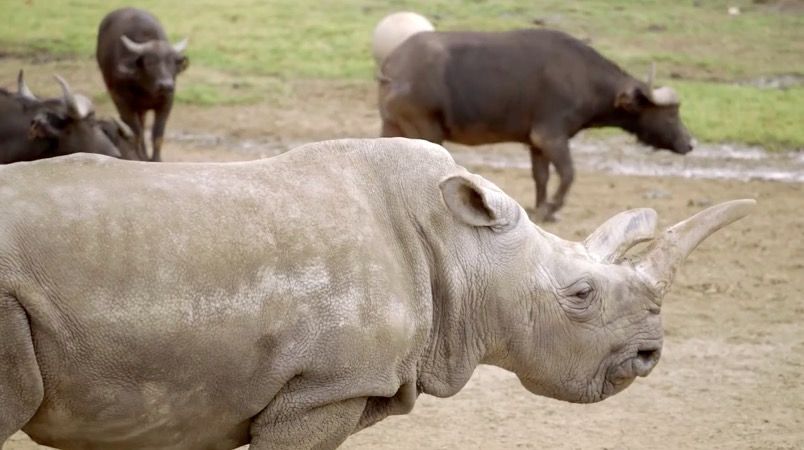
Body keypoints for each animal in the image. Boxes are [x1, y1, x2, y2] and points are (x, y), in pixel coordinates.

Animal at [96, 7, 188, 162]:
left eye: (173, 63)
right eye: (150, 62)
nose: (166, 85)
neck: (147, 89)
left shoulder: (167, 102)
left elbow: (157, 134)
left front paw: (156, 159)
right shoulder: (122, 102)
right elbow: (136, 132)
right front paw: (141, 157)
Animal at [380, 27, 696, 221]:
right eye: (671, 113)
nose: (690, 143)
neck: (584, 78)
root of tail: (393, 66)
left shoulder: (536, 143)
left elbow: (541, 176)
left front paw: (540, 207)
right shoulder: (551, 136)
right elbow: (568, 173)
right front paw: (552, 208)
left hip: (391, 126)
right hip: (426, 130)